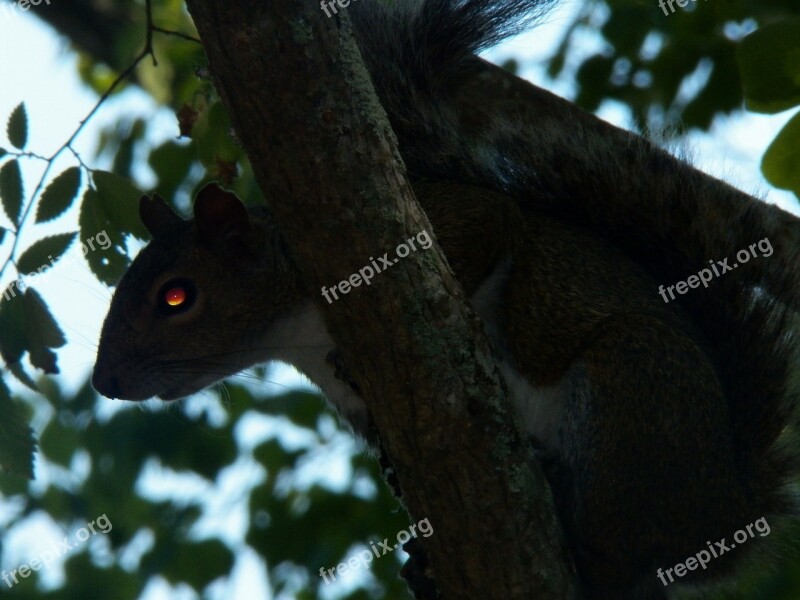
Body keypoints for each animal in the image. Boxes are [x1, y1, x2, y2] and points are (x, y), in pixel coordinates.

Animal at [94, 0, 800, 596]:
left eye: (176, 297)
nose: (105, 382)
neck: (300, 331)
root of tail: (723, 516)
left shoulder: (441, 225)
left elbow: (489, 229)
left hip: (632, 395)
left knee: (616, 549)